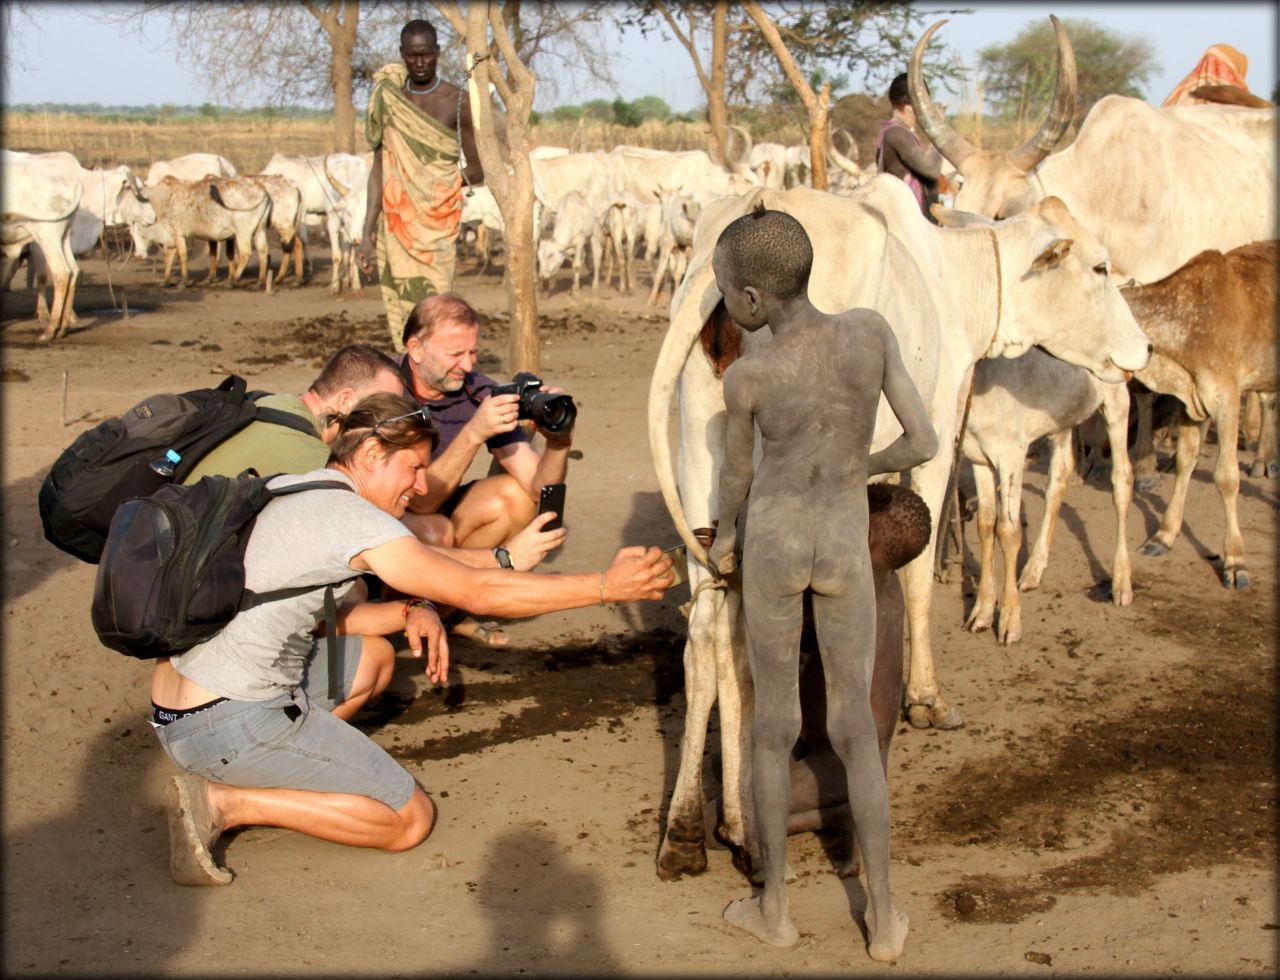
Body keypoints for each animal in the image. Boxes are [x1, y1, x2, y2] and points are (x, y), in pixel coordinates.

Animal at [645, 179, 1157, 880]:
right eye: (1100, 267)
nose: (1145, 350)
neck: (955, 277)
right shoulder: (935, 430)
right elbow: (916, 573)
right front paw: (928, 699)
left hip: (706, 461)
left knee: (708, 634)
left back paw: (691, 830)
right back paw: (744, 827)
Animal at [1126, 240, 1274, 588]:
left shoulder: (1227, 399)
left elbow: (1227, 478)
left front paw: (1235, 559)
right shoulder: (1190, 405)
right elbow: (1184, 462)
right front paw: (1163, 536)